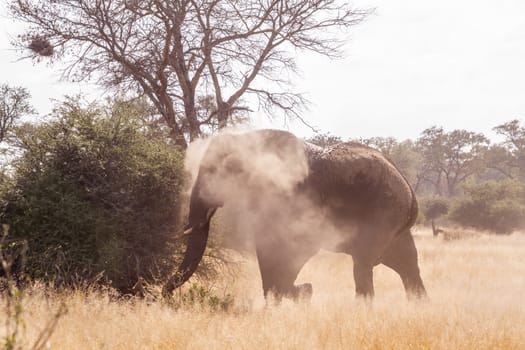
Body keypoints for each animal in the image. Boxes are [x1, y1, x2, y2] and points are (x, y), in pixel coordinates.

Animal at [164, 130, 426, 300]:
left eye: (215, 173)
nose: (163, 296)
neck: (247, 140)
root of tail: (410, 190)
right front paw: (303, 292)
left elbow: (289, 249)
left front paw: (301, 291)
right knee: (407, 265)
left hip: (383, 210)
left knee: (363, 264)